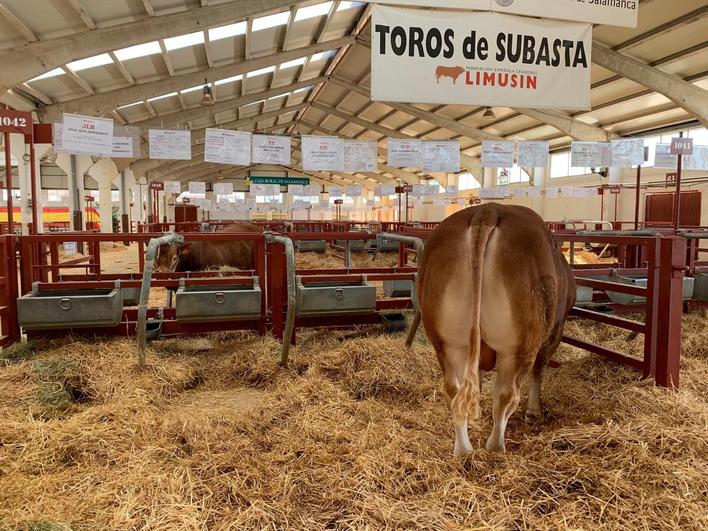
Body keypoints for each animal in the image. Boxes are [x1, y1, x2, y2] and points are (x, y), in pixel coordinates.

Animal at [420, 205, 576, 458]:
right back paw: (495, 446)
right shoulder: (555, 331)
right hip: (519, 345)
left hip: (446, 342)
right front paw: (534, 413)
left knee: (454, 390)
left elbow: (476, 381)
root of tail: (488, 210)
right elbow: (539, 371)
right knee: (506, 395)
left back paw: (463, 449)